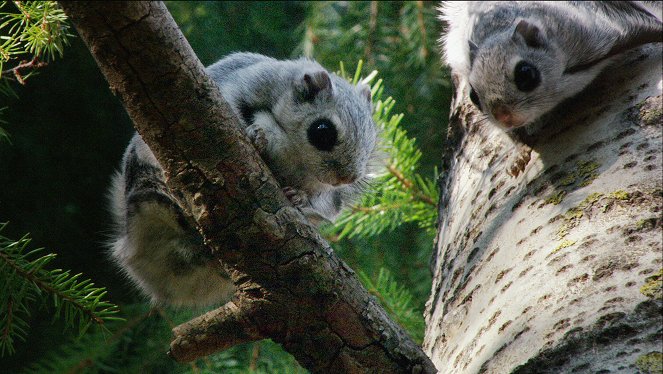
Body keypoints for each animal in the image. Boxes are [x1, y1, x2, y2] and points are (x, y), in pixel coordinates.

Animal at [109, 53, 378, 306]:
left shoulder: (327, 195)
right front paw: (256, 136)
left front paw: (298, 197)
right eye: (322, 131)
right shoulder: (245, 86)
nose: (347, 178)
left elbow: (321, 205)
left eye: (372, 138)